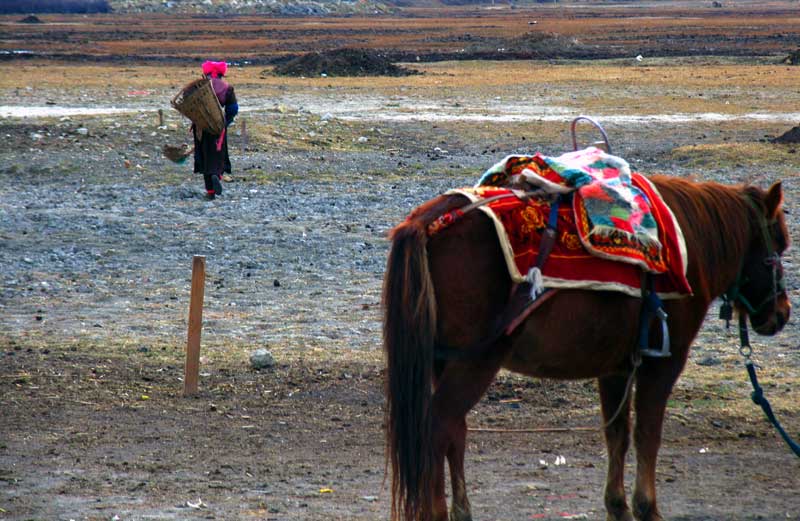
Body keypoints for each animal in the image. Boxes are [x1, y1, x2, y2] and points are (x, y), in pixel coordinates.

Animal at [384, 176, 792, 520]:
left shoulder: (617, 368)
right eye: (781, 244)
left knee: (455, 432)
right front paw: (647, 508)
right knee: (437, 428)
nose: (782, 313)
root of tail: (428, 221)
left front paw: (618, 507)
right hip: (476, 364)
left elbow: (618, 434)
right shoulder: (664, 363)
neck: (686, 246)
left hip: (447, 361)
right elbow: (648, 434)